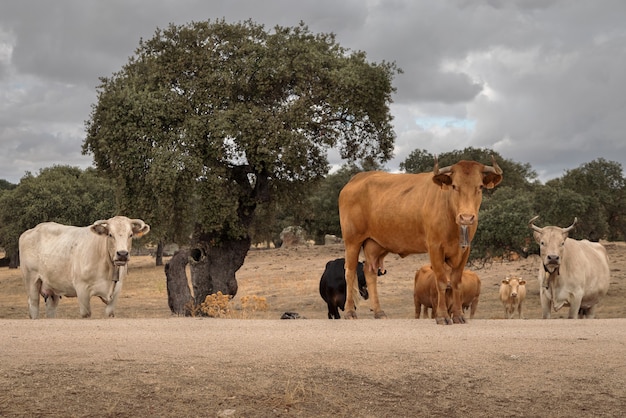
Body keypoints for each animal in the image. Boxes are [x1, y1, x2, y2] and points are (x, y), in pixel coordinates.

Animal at [19, 217, 149, 318]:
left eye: (130, 235)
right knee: (34, 307)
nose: (122, 254)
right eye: (110, 234)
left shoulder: (116, 292)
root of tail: (32, 230)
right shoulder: (82, 290)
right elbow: (86, 314)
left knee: (51, 309)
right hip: (32, 281)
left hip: (52, 289)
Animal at [338, 157, 500, 324]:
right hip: (352, 241)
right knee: (350, 272)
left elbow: (456, 282)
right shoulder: (435, 247)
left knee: (370, 273)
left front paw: (458, 315)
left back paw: (379, 312)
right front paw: (442, 316)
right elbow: (441, 281)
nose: (466, 218)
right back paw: (350, 312)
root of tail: (356, 179)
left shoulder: (465, 250)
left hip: (375, 244)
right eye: (454, 186)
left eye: (480, 186)